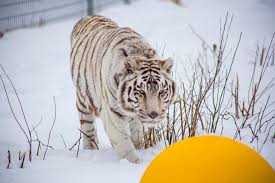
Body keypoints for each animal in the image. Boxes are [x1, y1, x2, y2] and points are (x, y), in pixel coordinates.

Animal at [70, 15, 176, 163]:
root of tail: (88, 16)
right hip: (83, 99)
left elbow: (136, 137)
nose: (153, 115)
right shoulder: (113, 115)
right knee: (88, 128)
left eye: (161, 91)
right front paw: (135, 163)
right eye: (141, 92)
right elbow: (125, 146)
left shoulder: (136, 119)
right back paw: (90, 150)